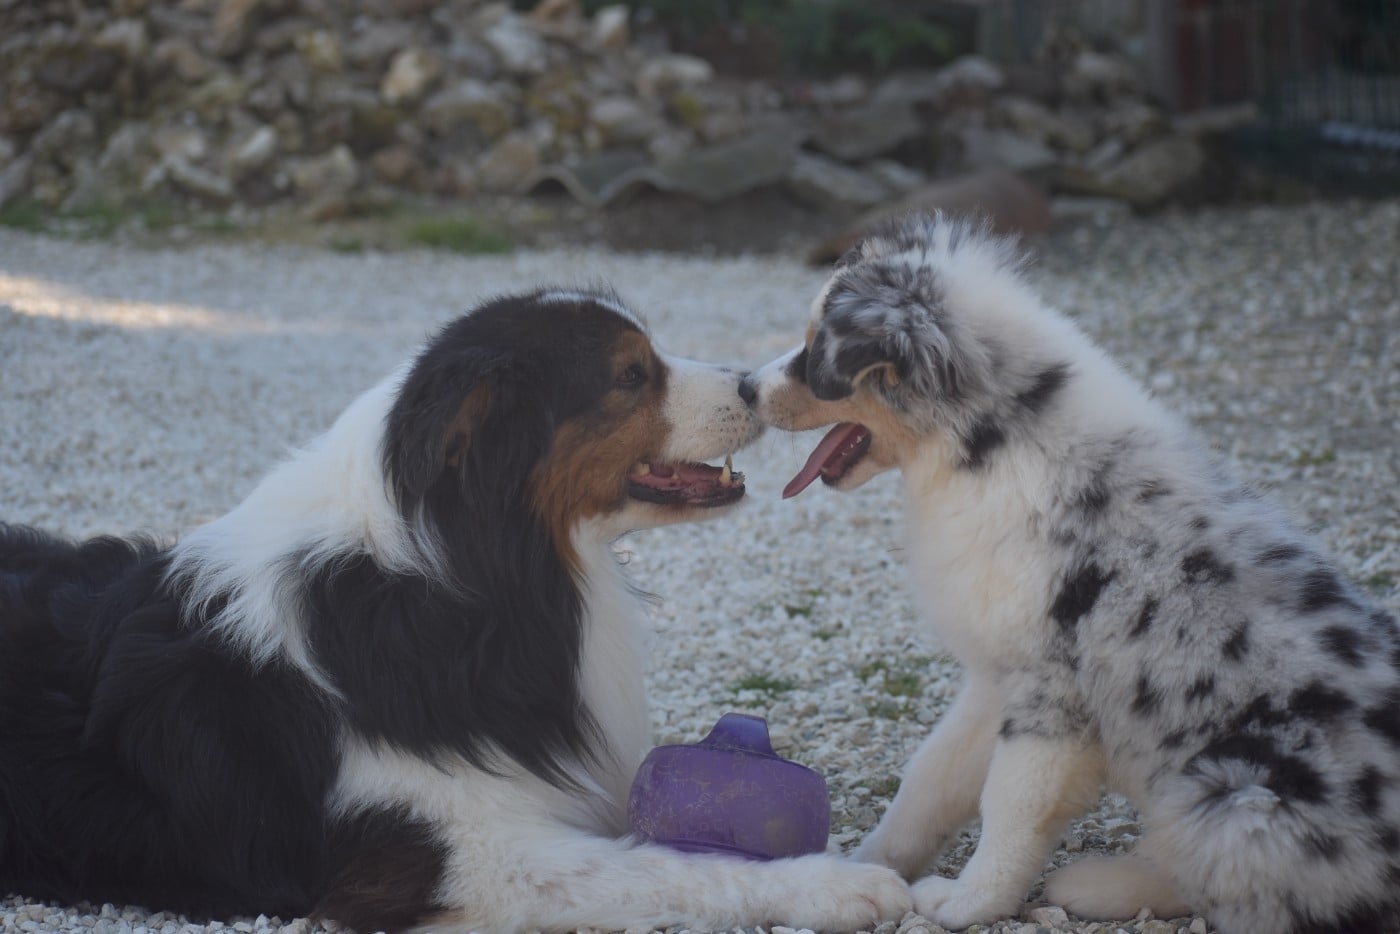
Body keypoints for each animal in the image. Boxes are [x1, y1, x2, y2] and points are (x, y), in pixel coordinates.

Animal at [0, 288, 912, 933]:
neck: (475, 579)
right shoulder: (455, 858)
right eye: (630, 374)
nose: (756, 387)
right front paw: (839, 886)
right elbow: (673, 865)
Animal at [740, 216, 1400, 933]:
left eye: (814, 352)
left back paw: (1097, 884)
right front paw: (865, 869)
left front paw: (967, 902)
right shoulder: (996, 674)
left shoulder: (1053, 693)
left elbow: (1011, 806)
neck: (996, 440)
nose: (744, 386)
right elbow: (932, 779)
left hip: (1235, 792)